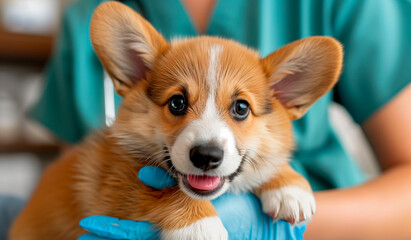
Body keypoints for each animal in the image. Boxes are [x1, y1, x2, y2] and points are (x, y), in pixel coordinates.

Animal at [10, 1, 344, 240]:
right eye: (177, 103)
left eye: (241, 108)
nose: (207, 156)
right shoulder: (111, 185)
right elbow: (158, 189)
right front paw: (200, 224)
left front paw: (289, 187)